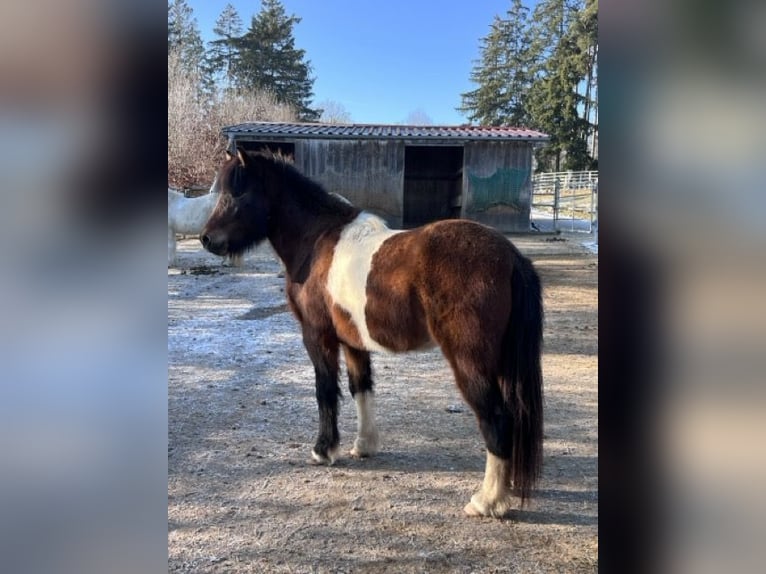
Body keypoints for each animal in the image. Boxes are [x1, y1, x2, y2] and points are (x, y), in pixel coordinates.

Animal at [200, 147, 544, 518]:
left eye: (236, 192)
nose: (207, 239)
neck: (317, 241)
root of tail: (510, 256)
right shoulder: (354, 342)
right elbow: (360, 388)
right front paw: (363, 446)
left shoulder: (317, 337)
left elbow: (325, 391)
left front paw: (323, 450)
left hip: (470, 362)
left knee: (497, 419)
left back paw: (487, 501)